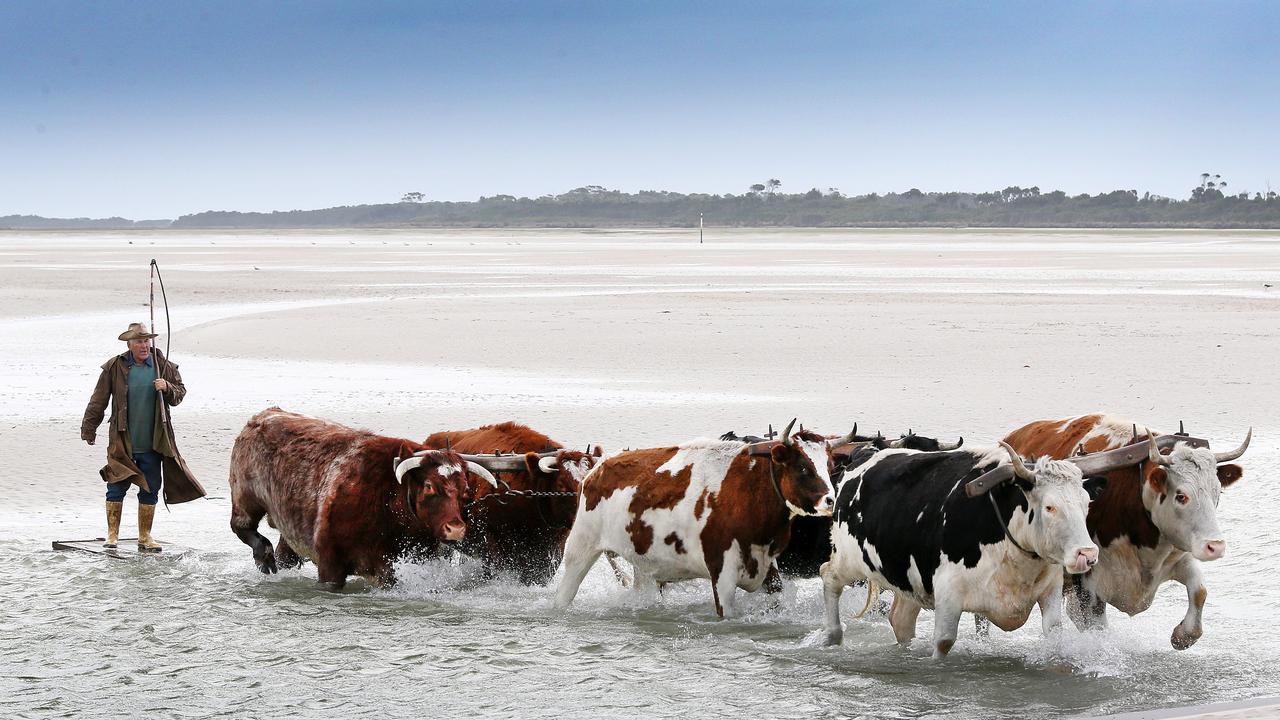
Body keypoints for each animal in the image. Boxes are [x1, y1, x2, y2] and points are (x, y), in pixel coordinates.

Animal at [230, 409, 499, 589]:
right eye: (429, 486)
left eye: (466, 491)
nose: (456, 529)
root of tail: (264, 415)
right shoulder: (330, 565)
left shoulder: (392, 567)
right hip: (244, 498)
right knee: (242, 527)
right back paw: (264, 557)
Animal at [552, 420, 839, 617]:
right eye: (802, 467)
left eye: (829, 466)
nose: (830, 500)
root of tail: (597, 467)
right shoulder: (722, 573)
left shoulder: (768, 567)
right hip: (581, 546)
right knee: (565, 591)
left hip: (643, 562)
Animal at [824, 440, 1136, 653]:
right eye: (1050, 507)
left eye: (1086, 503)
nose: (1087, 554)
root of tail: (863, 456)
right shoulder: (948, 596)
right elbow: (944, 642)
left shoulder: (1049, 591)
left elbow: (1053, 632)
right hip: (848, 559)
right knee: (829, 577)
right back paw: (832, 637)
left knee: (901, 620)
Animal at [998, 412, 1249, 648]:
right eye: (1181, 496)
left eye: (1217, 492)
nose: (1215, 547)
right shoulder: (1088, 587)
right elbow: (1096, 629)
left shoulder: (1178, 553)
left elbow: (1199, 591)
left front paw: (1182, 636)